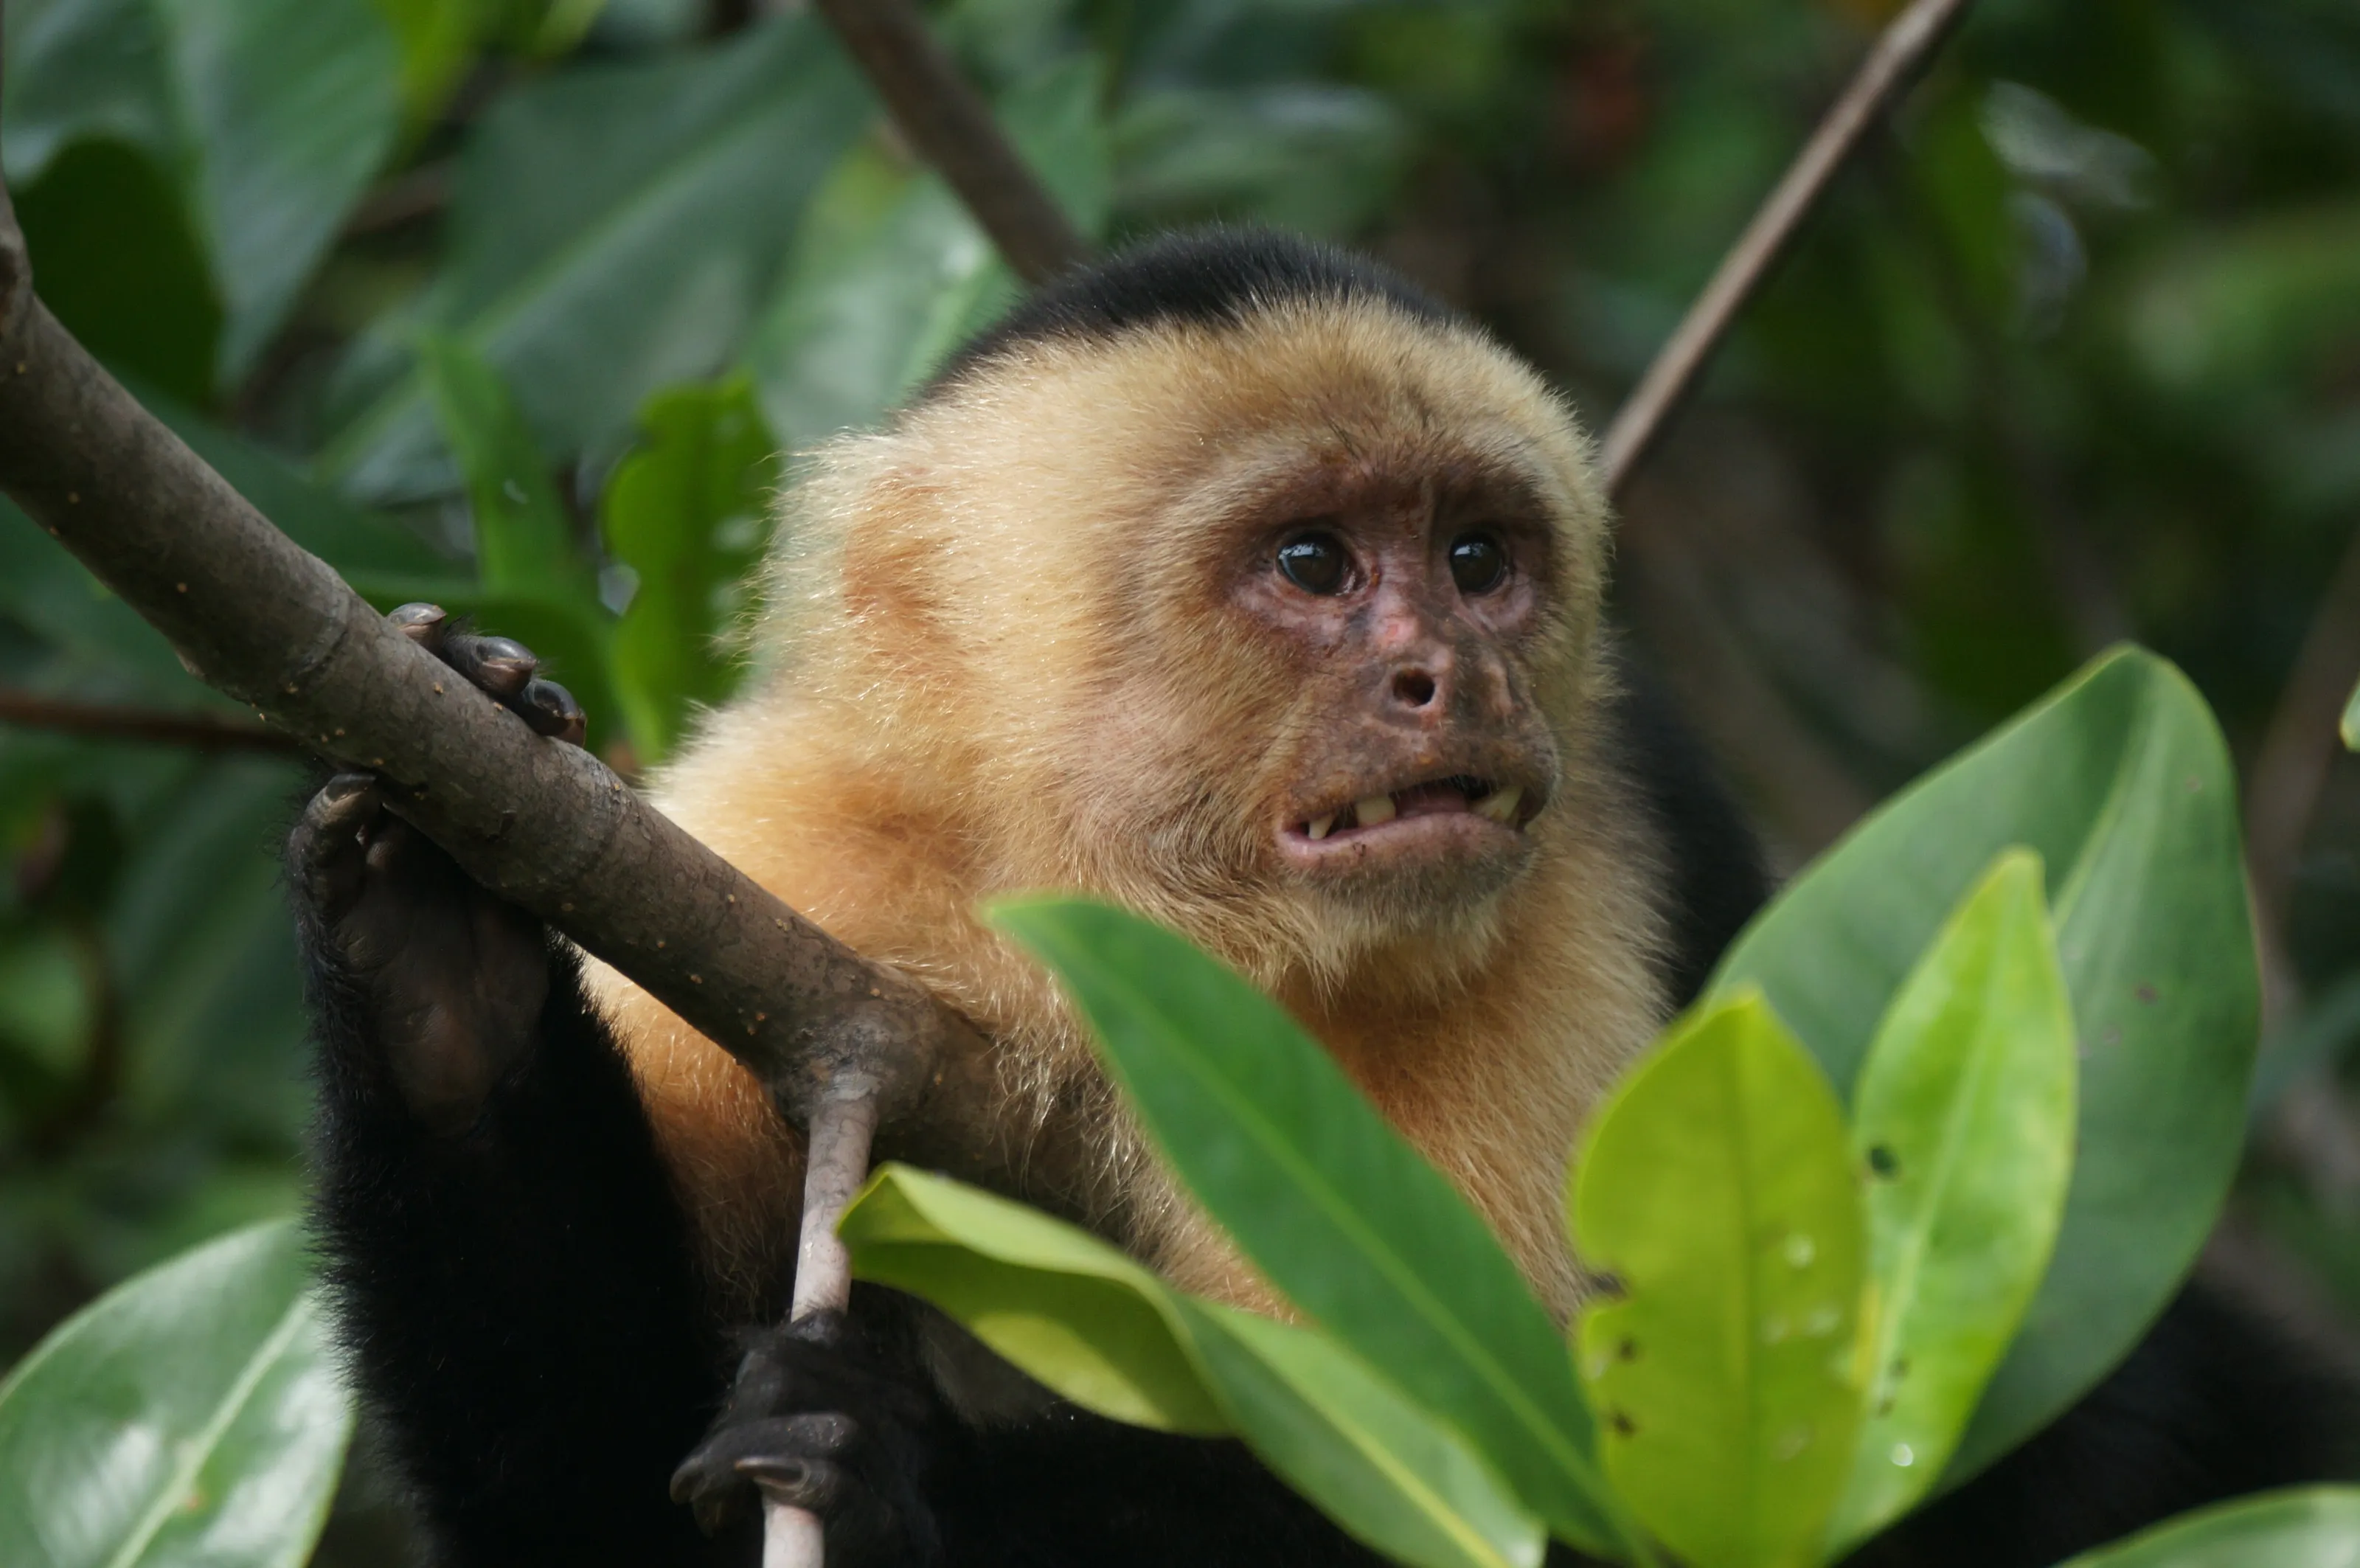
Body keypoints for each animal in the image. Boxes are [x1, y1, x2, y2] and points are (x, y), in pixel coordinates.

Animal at [289, 229, 2348, 1568]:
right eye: (1308, 562)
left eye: (1479, 556)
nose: (1454, 674)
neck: (1120, 903)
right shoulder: (805, 847)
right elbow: (577, 1510)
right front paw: (436, 952)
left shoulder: (1578, 885)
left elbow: (1557, 1500)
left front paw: (904, 1468)